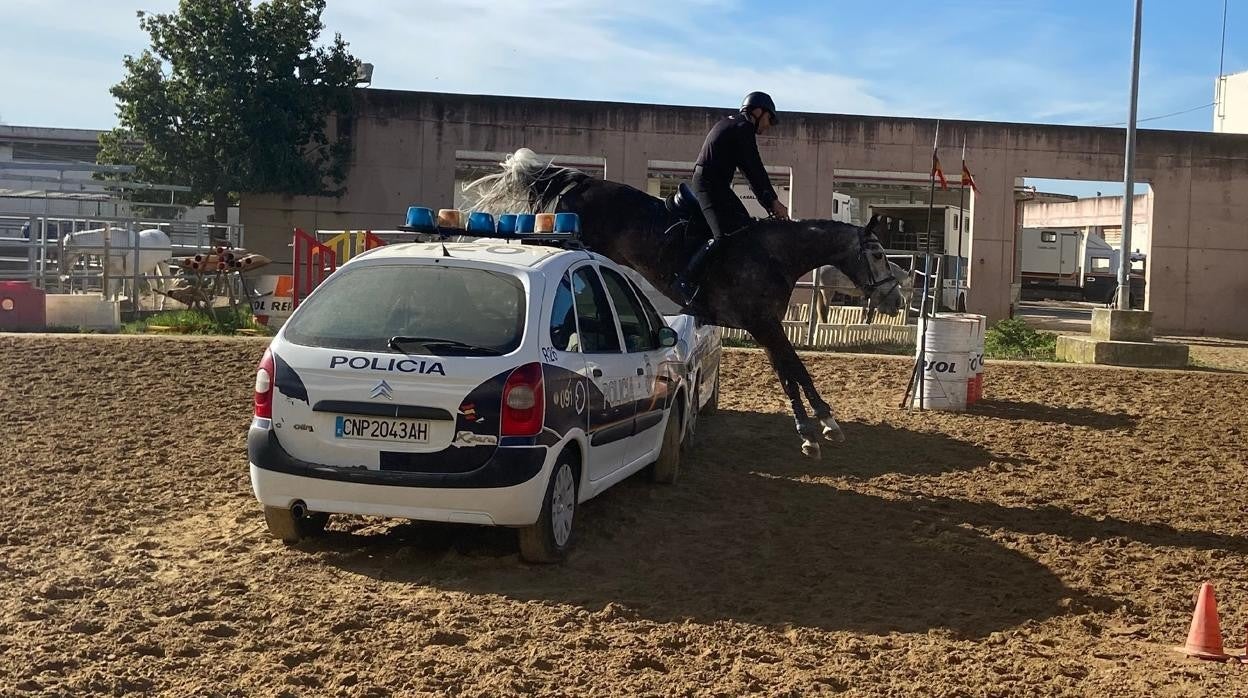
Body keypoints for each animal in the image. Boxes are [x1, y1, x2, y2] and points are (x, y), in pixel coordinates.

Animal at [469, 147, 908, 459]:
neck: (776, 254)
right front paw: (819, 427)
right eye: (877, 254)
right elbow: (794, 370)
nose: (895, 299)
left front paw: (817, 427)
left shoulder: (766, 326)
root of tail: (581, 182)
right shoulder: (763, 324)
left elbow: (790, 371)